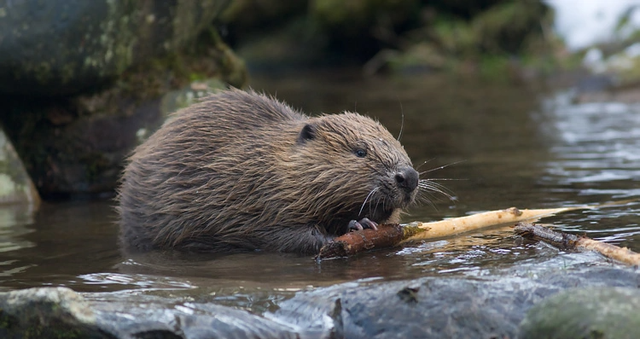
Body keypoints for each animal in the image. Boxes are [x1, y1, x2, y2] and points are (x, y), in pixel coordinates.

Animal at [118, 90, 422, 255]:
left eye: (399, 144)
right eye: (360, 151)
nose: (409, 177)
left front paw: (365, 222)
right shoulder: (254, 201)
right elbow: (279, 235)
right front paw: (354, 228)